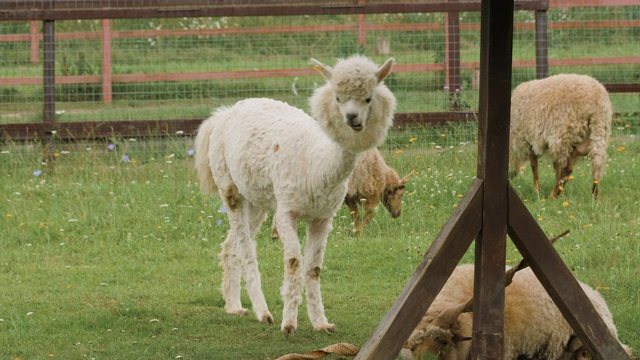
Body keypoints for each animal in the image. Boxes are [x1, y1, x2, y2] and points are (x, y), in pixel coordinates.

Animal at [194, 54, 396, 336]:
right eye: (338, 98)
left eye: (368, 98)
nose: (352, 118)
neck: (316, 166)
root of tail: (223, 114)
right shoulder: (287, 212)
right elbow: (293, 262)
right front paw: (289, 324)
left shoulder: (322, 217)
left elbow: (314, 269)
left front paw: (321, 323)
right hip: (229, 186)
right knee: (245, 249)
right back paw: (263, 312)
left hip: (257, 199)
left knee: (230, 246)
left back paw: (234, 306)